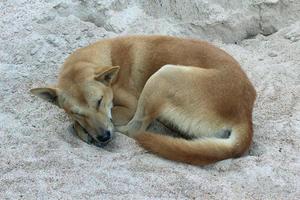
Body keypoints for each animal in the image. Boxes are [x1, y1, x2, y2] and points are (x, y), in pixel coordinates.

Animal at [30, 35, 255, 165]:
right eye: (77, 112)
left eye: (100, 101)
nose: (103, 137)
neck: (108, 57)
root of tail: (244, 115)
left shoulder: (129, 107)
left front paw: (84, 132)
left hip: (163, 75)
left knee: (135, 130)